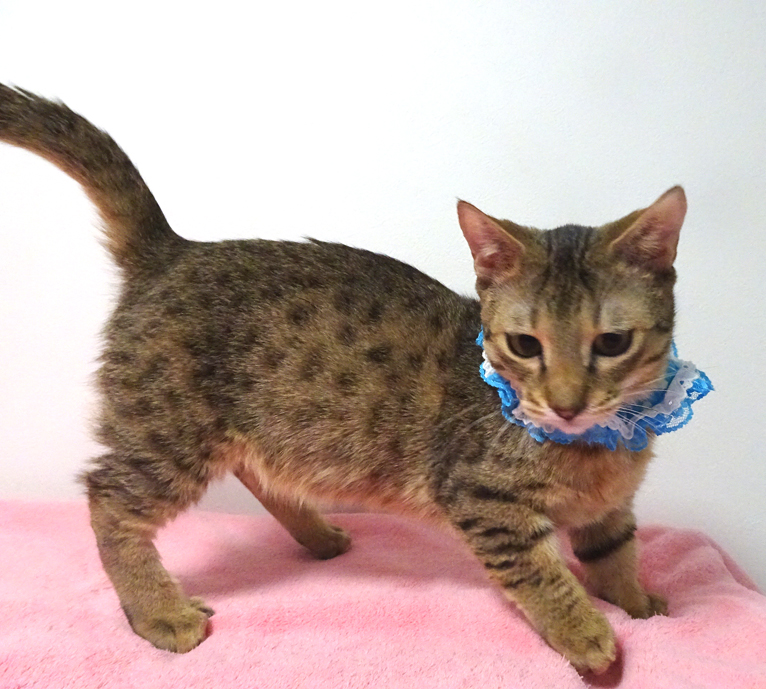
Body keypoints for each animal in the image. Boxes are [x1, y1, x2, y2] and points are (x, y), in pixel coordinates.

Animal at [0, 84, 685, 675]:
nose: (567, 404)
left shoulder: (612, 508)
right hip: (169, 432)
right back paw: (158, 611)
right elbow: (544, 575)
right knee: (107, 497)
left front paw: (641, 606)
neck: (596, 447)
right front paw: (587, 632)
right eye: (525, 345)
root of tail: (173, 249)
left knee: (258, 471)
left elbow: (616, 553)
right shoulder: (483, 501)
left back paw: (318, 536)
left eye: (612, 343)